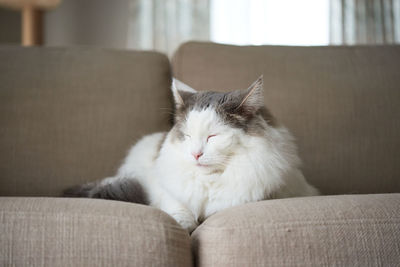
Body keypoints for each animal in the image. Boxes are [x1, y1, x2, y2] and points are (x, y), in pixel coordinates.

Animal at [66, 77, 322, 232]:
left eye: (213, 137)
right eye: (187, 136)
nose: (195, 154)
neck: (210, 182)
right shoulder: (166, 190)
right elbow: (181, 212)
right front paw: (185, 225)